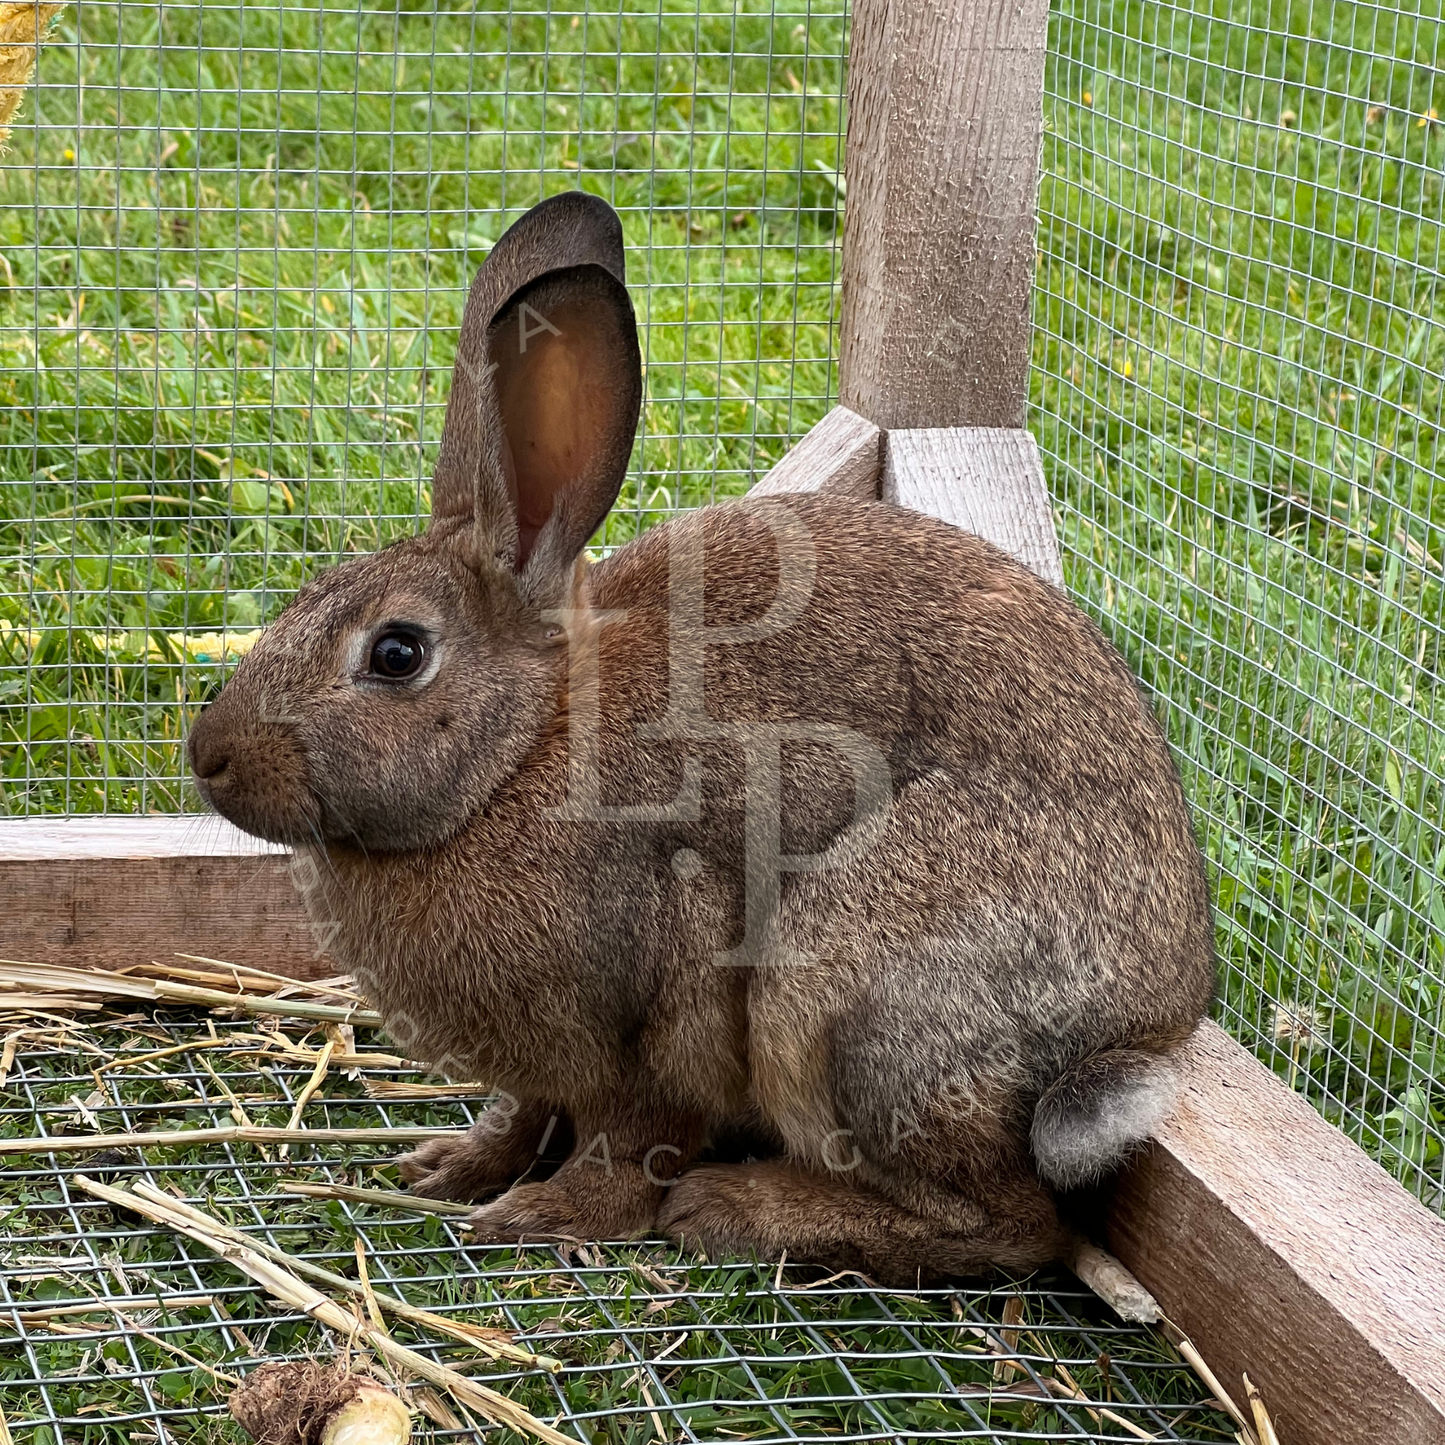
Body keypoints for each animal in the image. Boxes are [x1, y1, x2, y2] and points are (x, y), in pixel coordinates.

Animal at [188, 190, 1215, 1284]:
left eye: (395, 653)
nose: (208, 757)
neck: (518, 750)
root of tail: (1149, 1023)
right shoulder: (544, 1063)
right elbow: (524, 1113)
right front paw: (452, 1168)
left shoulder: (663, 996)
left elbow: (630, 1137)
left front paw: (541, 1215)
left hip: (845, 994)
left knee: (1011, 1222)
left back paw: (737, 1208)